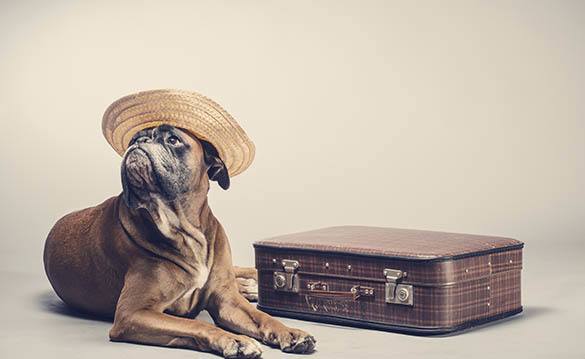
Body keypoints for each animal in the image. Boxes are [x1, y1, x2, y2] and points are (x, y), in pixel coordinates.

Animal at [44, 124, 318, 359]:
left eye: (173, 139)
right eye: (133, 140)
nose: (139, 142)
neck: (182, 229)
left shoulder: (228, 302)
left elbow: (262, 317)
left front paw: (291, 332)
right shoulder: (132, 314)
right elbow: (194, 325)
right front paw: (235, 340)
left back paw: (250, 286)